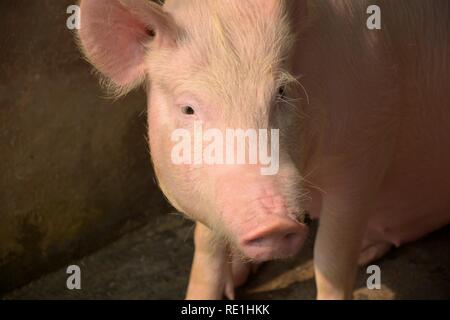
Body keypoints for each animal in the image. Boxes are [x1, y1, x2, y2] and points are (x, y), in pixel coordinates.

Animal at [77, 0, 450, 300]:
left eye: (282, 92)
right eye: (188, 109)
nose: (274, 223)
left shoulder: (366, 145)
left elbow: (330, 258)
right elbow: (206, 248)